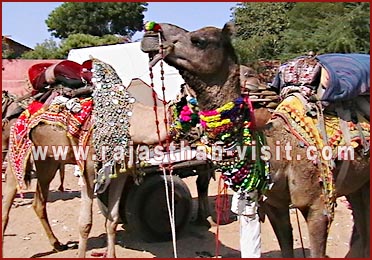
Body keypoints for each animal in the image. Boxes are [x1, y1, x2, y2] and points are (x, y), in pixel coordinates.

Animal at [141, 22, 370, 258]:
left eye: (199, 41)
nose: (151, 34)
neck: (280, 150)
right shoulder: (274, 206)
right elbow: (286, 248)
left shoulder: (318, 206)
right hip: (357, 182)